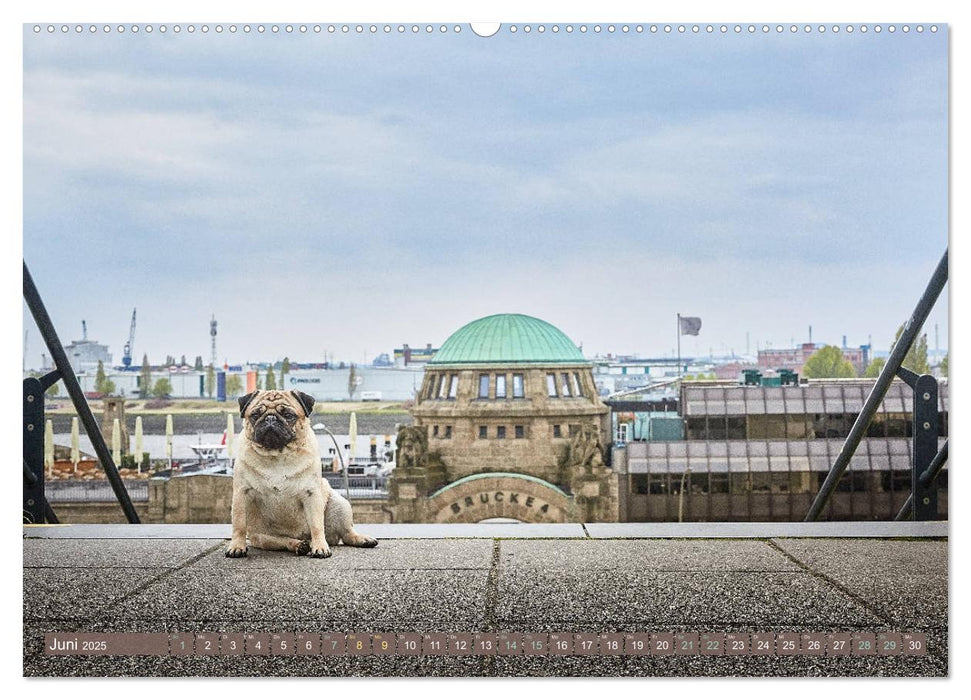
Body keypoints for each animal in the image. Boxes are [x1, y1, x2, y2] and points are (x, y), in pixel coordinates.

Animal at [228, 388, 380, 556]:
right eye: (255, 415)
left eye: (289, 415)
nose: (270, 418)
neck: (277, 456)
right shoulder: (242, 493)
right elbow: (239, 525)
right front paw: (237, 546)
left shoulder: (311, 493)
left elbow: (316, 526)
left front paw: (320, 547)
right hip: (261, 538)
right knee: (283, 541)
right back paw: (299, 545)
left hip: (340, 505)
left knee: (346, 534)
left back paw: (361, 539)